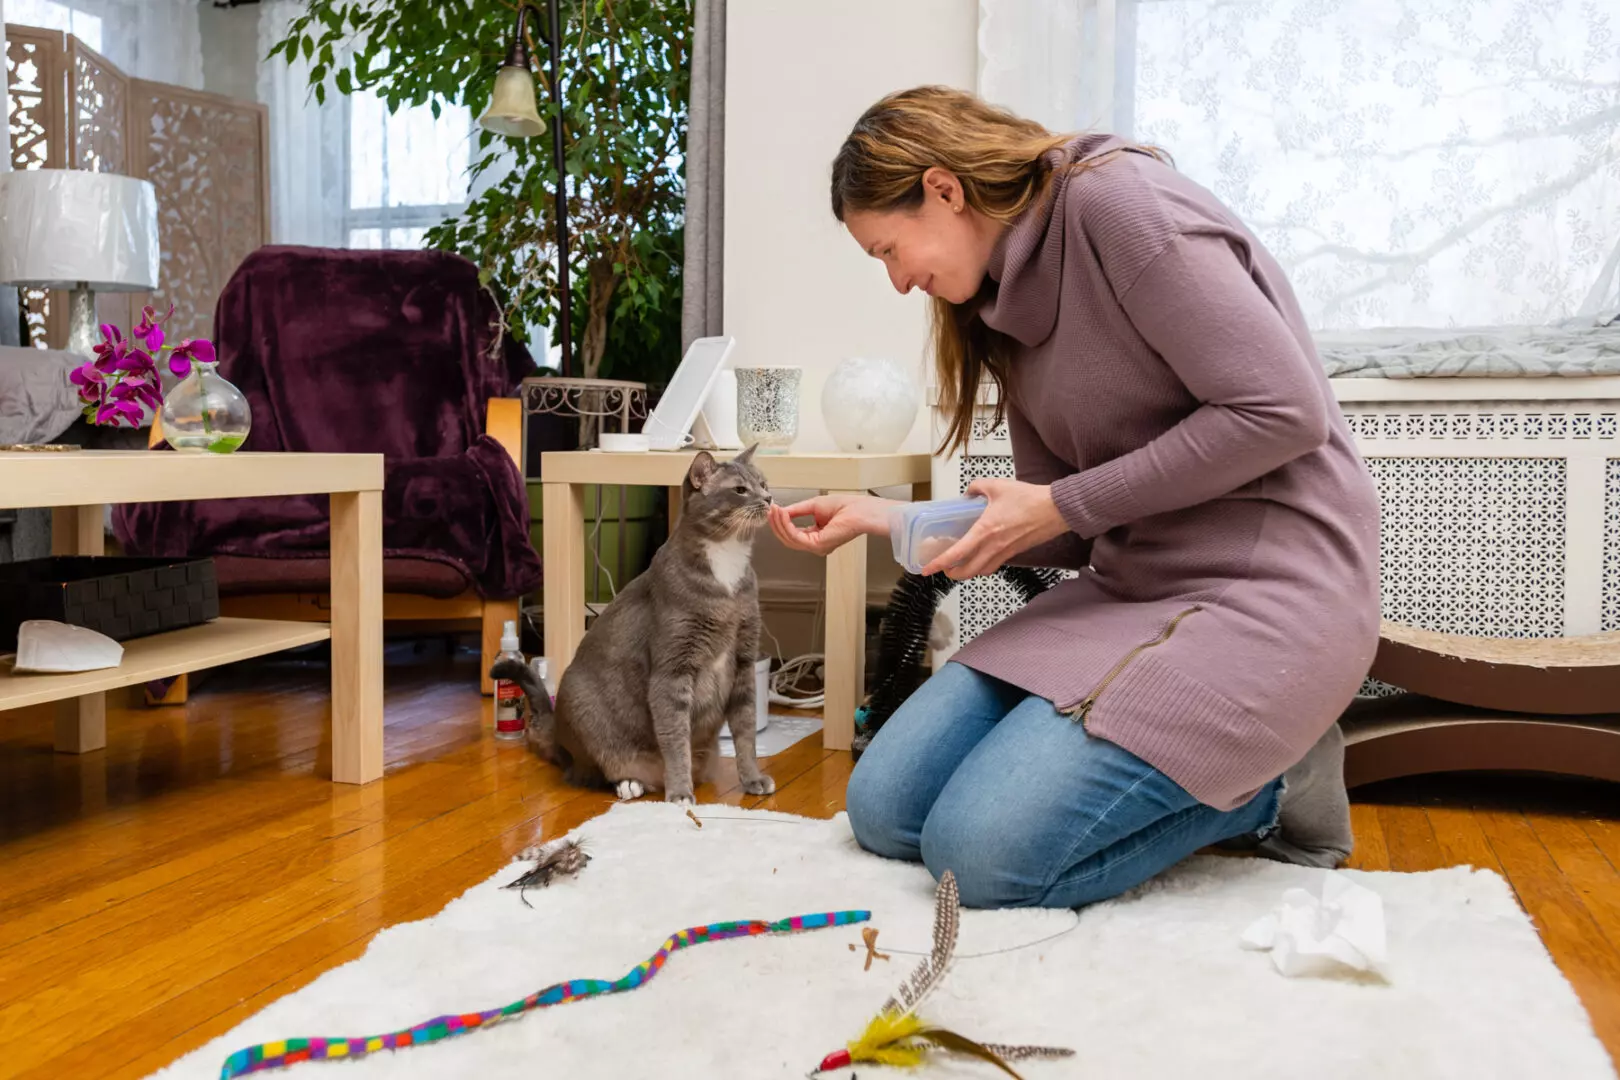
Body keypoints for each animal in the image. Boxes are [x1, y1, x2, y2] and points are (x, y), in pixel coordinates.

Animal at [489, 443, 774, 806]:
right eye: (739, 490)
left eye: (763, 483)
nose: (769, 499)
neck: (726, 565)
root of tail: (559, 737)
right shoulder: (671, 669)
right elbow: (675, 736)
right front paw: (680, 792)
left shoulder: (743, 660)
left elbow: (746, 729)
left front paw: (752, 779)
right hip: (582, 707)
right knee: (593, 770)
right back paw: (629, 783)